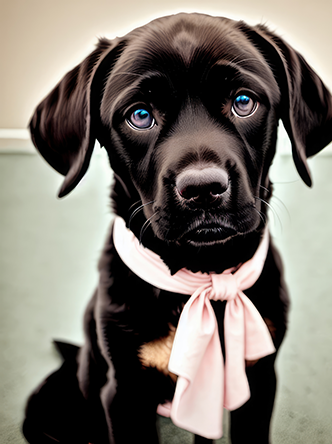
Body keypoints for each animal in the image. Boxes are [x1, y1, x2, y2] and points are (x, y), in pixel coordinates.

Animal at [23, 13, 332, 444]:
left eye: (244, 102)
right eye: (139, 115)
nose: (203, 189)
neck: (206, 276)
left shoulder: (258, 378)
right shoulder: (123, 394)